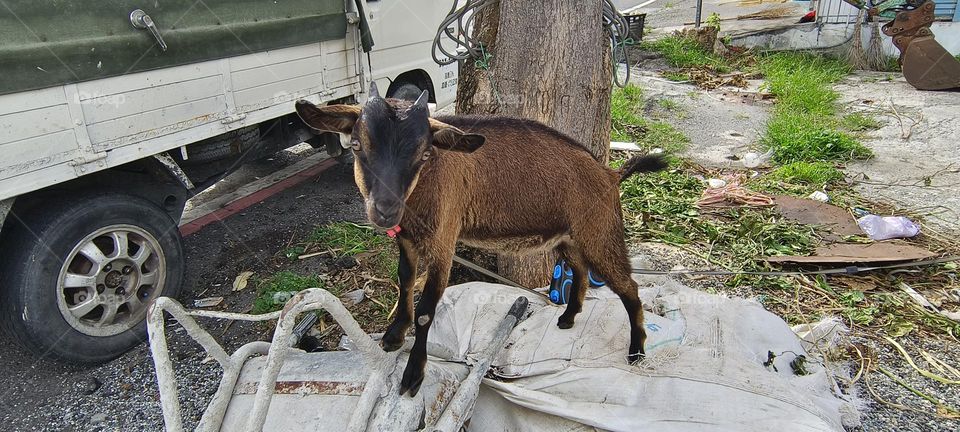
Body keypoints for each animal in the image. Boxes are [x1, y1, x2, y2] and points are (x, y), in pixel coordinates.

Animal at [295, 83, 666, 397]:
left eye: (425, 154)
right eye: (357, 145)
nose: (385, 211)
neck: (422, 190)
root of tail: (612, 173)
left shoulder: (443, 240)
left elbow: (427, 311)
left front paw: (413, 375)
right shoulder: (408, 240)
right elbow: (404, 280)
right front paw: (394, 336)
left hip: (600, 230)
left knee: (628, 286)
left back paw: (636, 350)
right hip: (568, 237)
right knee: (581, 271)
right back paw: (568, 317)